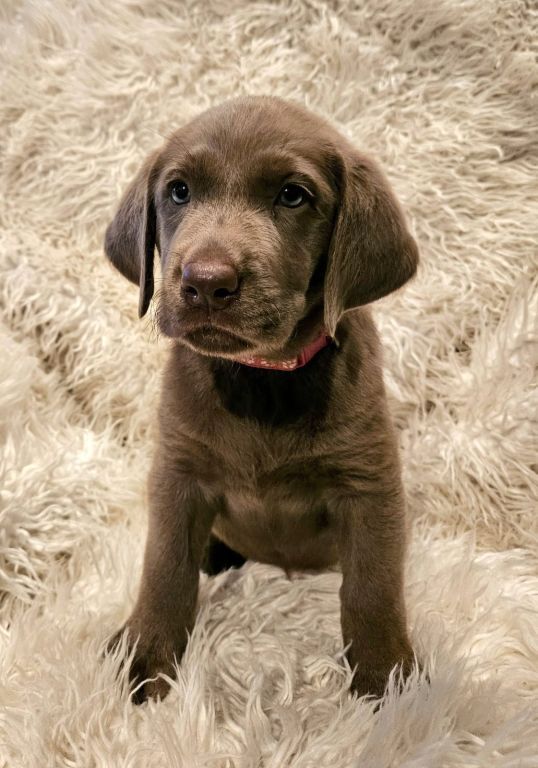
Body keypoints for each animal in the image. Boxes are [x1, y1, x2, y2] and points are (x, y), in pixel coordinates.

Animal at [104, 94, 418, 704]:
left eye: (293, 195)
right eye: (179, 191)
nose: (206, 281)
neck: (263, 379)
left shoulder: (369, 485)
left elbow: (370, 590)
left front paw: (386, 681)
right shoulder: (177, 473)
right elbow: (165, 569)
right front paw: (145, 655)